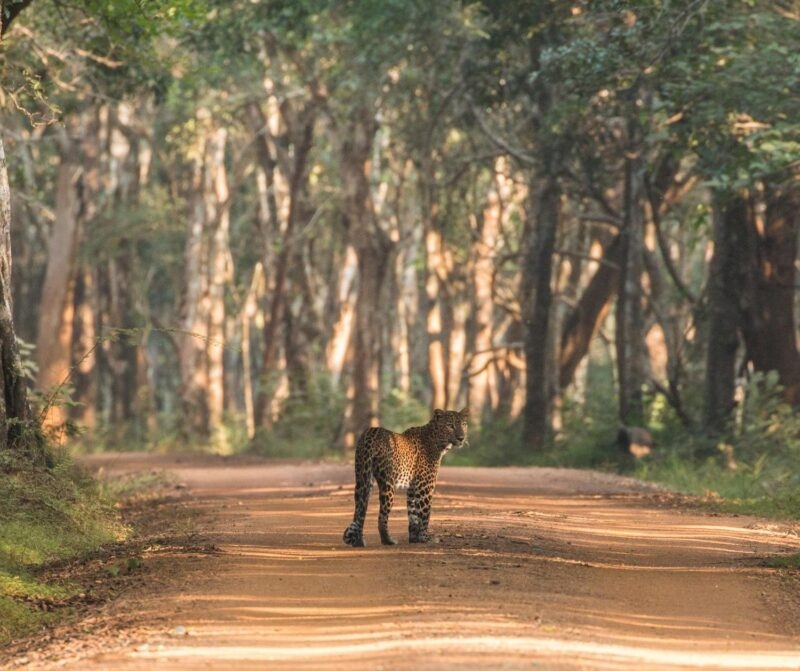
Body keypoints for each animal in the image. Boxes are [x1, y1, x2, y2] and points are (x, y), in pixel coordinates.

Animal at [343, 408, 469, 547]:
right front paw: (425, 537)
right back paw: (388, 540)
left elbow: (413, 514)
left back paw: (358, 541)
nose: (461, 438)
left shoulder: (413, 487)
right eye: (450, 426)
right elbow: (424, 513)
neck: (438, 441)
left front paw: (414, 538)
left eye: (463, 424)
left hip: (362, 477)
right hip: (387, 483)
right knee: (382, 516)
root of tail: (371, 432)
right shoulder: (425, 485)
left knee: (360, 510)